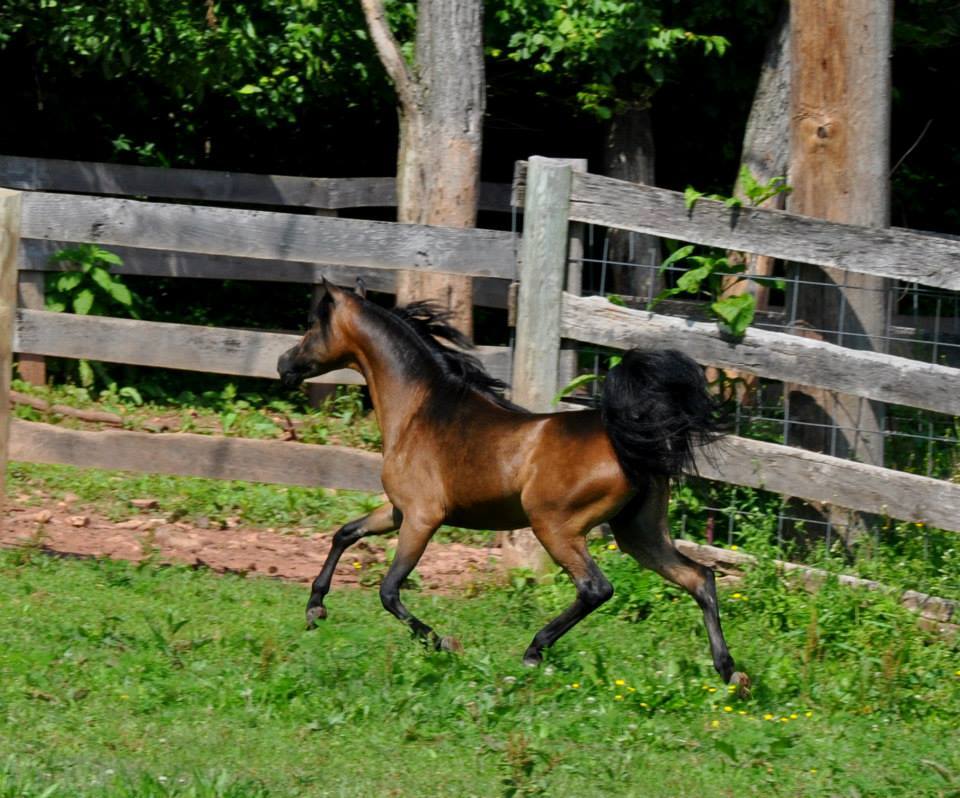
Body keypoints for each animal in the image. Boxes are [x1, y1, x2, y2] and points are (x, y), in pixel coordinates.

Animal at [278, 278, 748, 691]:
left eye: (313, 325)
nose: (284, 365)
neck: (419, 411)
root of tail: (629, 438)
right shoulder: (398, 511)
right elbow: (345, 533)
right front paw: (315, 609)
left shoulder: (422, 518)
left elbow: (389, 591)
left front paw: (443, 642)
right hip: (639, 532)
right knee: (700, 578)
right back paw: (730, 673)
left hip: (555, 527)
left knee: (596, 588)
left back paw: (534, 651)